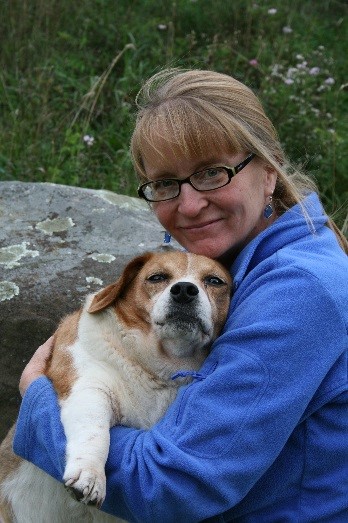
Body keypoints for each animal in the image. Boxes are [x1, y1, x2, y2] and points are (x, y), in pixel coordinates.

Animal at [1, 252, 232, 520]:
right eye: (157, 277)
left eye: (215, 281)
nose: (184, 290)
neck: (156, 369)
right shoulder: (88, 388)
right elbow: (95, 431)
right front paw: (90, 476)